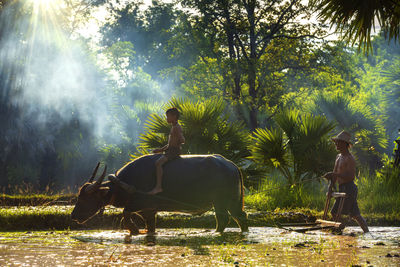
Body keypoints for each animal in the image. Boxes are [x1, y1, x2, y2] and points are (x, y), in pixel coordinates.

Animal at [70, 155, 248, 237]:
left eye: (85, 198)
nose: (73, 216)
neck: (125, 185)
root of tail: (232, 166)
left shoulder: (141, 204)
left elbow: (125, 214)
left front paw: (134, 229)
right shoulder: (149, 211)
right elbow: (150, 226)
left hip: (221, 201)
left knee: (224, 218)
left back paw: (215, 232)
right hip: (233, 201)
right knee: (240, 216)